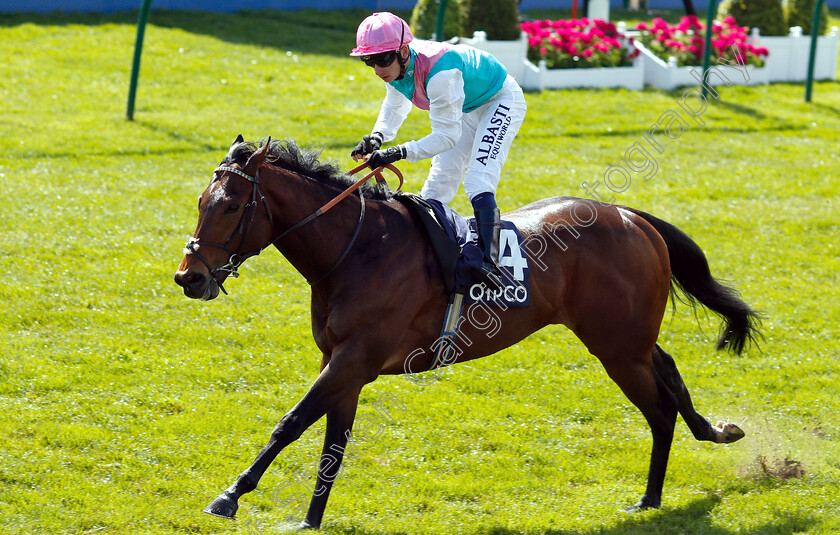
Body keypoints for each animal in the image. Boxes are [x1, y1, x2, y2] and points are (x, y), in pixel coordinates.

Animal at [174, 136, 756, 528]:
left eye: (230, 205)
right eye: (201, 202)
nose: (189, 277)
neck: (356, 248)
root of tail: (632, 216)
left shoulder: (355, 359)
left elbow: (291, 424)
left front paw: (229, 497)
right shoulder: (341, 363)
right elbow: (332, 441)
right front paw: (311, 519)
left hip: (617, 348)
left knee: (659, 408)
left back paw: (651, 497)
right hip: (626, 339)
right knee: (670, 371)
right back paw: (714, 433)